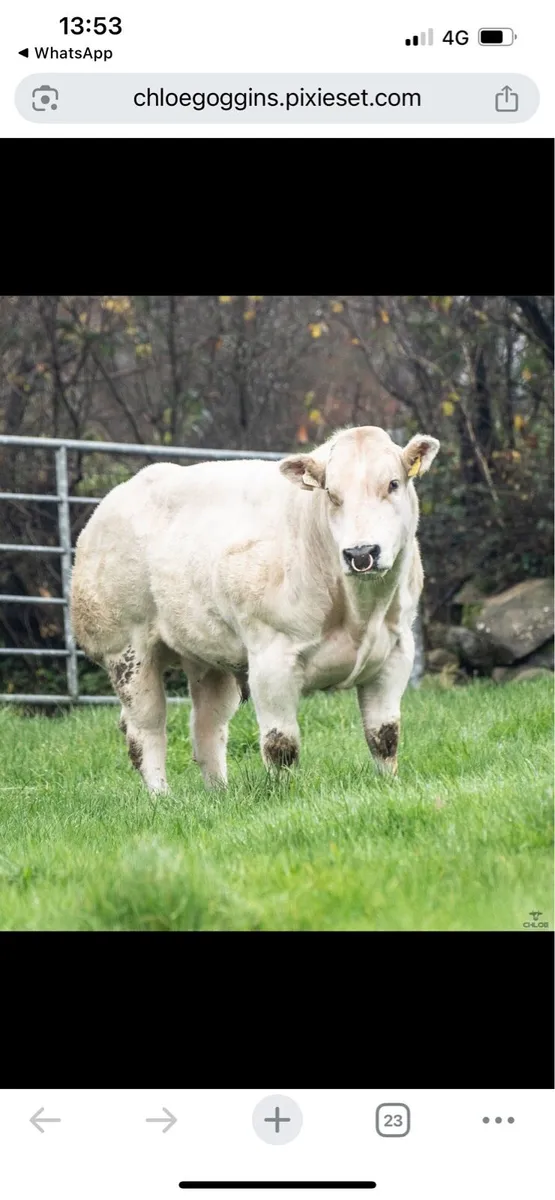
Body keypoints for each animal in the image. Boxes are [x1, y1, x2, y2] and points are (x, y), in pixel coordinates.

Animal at [70, 425, 439, 794]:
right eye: (332, 494)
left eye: (393, 483)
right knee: (145, 729)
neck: (360, 612)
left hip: (208, 657)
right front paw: (285, 795)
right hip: (126, 651)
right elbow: (281, 743)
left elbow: (384, 736)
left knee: (207, 725)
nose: (361, 553)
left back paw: (219, 792)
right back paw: (161, 797)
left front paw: (389, 784)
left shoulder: (396, 651)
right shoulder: (271, 658)